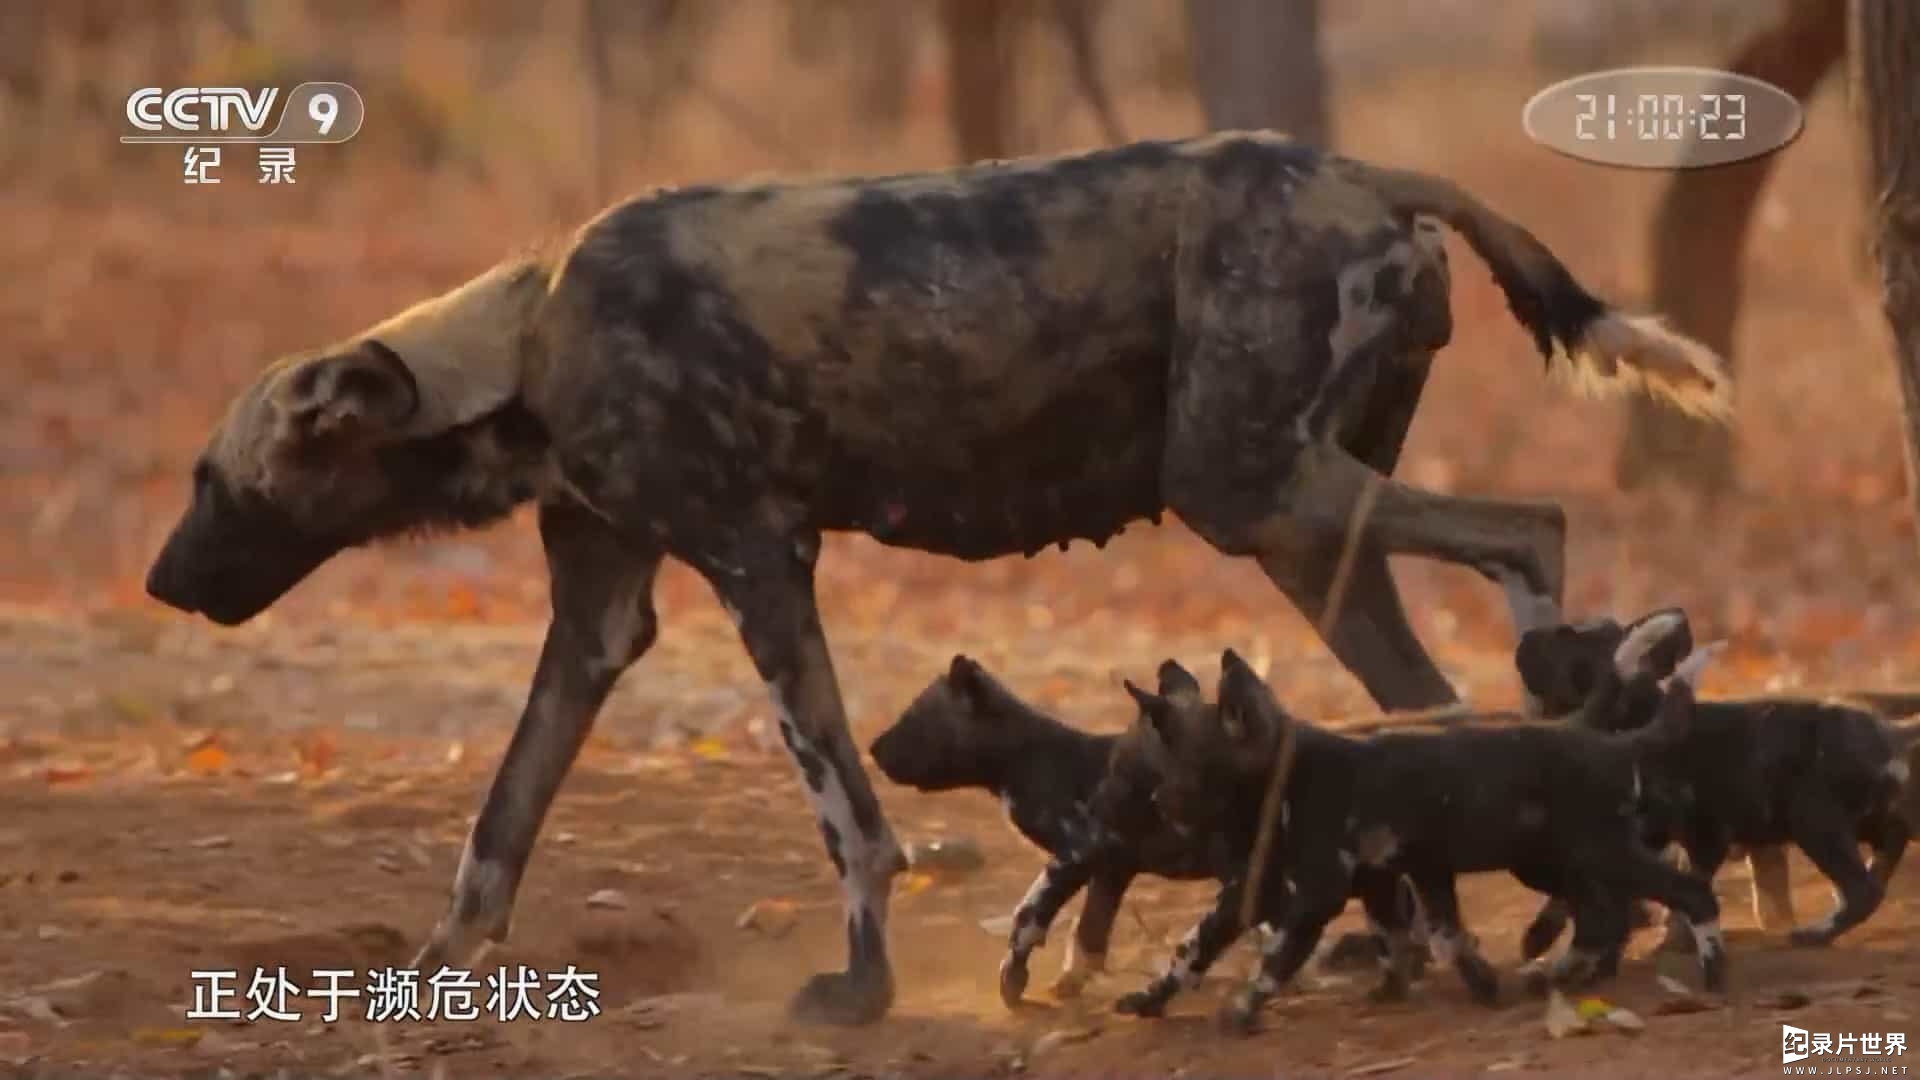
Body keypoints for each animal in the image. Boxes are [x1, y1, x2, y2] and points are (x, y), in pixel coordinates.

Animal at [875, 657, 1228, 999]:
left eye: (913, 719)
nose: (873, 749)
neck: (1023, 758)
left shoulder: (1077, 853)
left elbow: (1028, 916)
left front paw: (1013, 980)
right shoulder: (1111, 869)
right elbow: (1088, 932)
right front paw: (1069, 982)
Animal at [1098, 641, 1728, 1030]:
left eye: (1178, 770)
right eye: (1156, 769)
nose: (1153, 805)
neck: (1281, 779)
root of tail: (1601, 737)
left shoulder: (1319, 893)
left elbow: (1277, 958)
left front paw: (1244, 1008)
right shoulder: (1362, 880)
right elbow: (1191, 948)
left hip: (1595, 852)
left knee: (1686, 895)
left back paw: (1712, 975)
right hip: (1548, 861)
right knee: (1602, 916)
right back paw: (1558, 973)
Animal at [1520, 611, 1912, 953]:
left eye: (1567, 637)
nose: (1525, 638)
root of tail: (1889, 742)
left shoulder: (1700, 835)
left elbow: (1686, 892)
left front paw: (1672, 942)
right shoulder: (1640, 835)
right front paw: (1540, 937)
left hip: (1815, 821)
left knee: (1862, 890)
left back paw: (1813, 934)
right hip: (1869, 827)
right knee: (1882, 864)